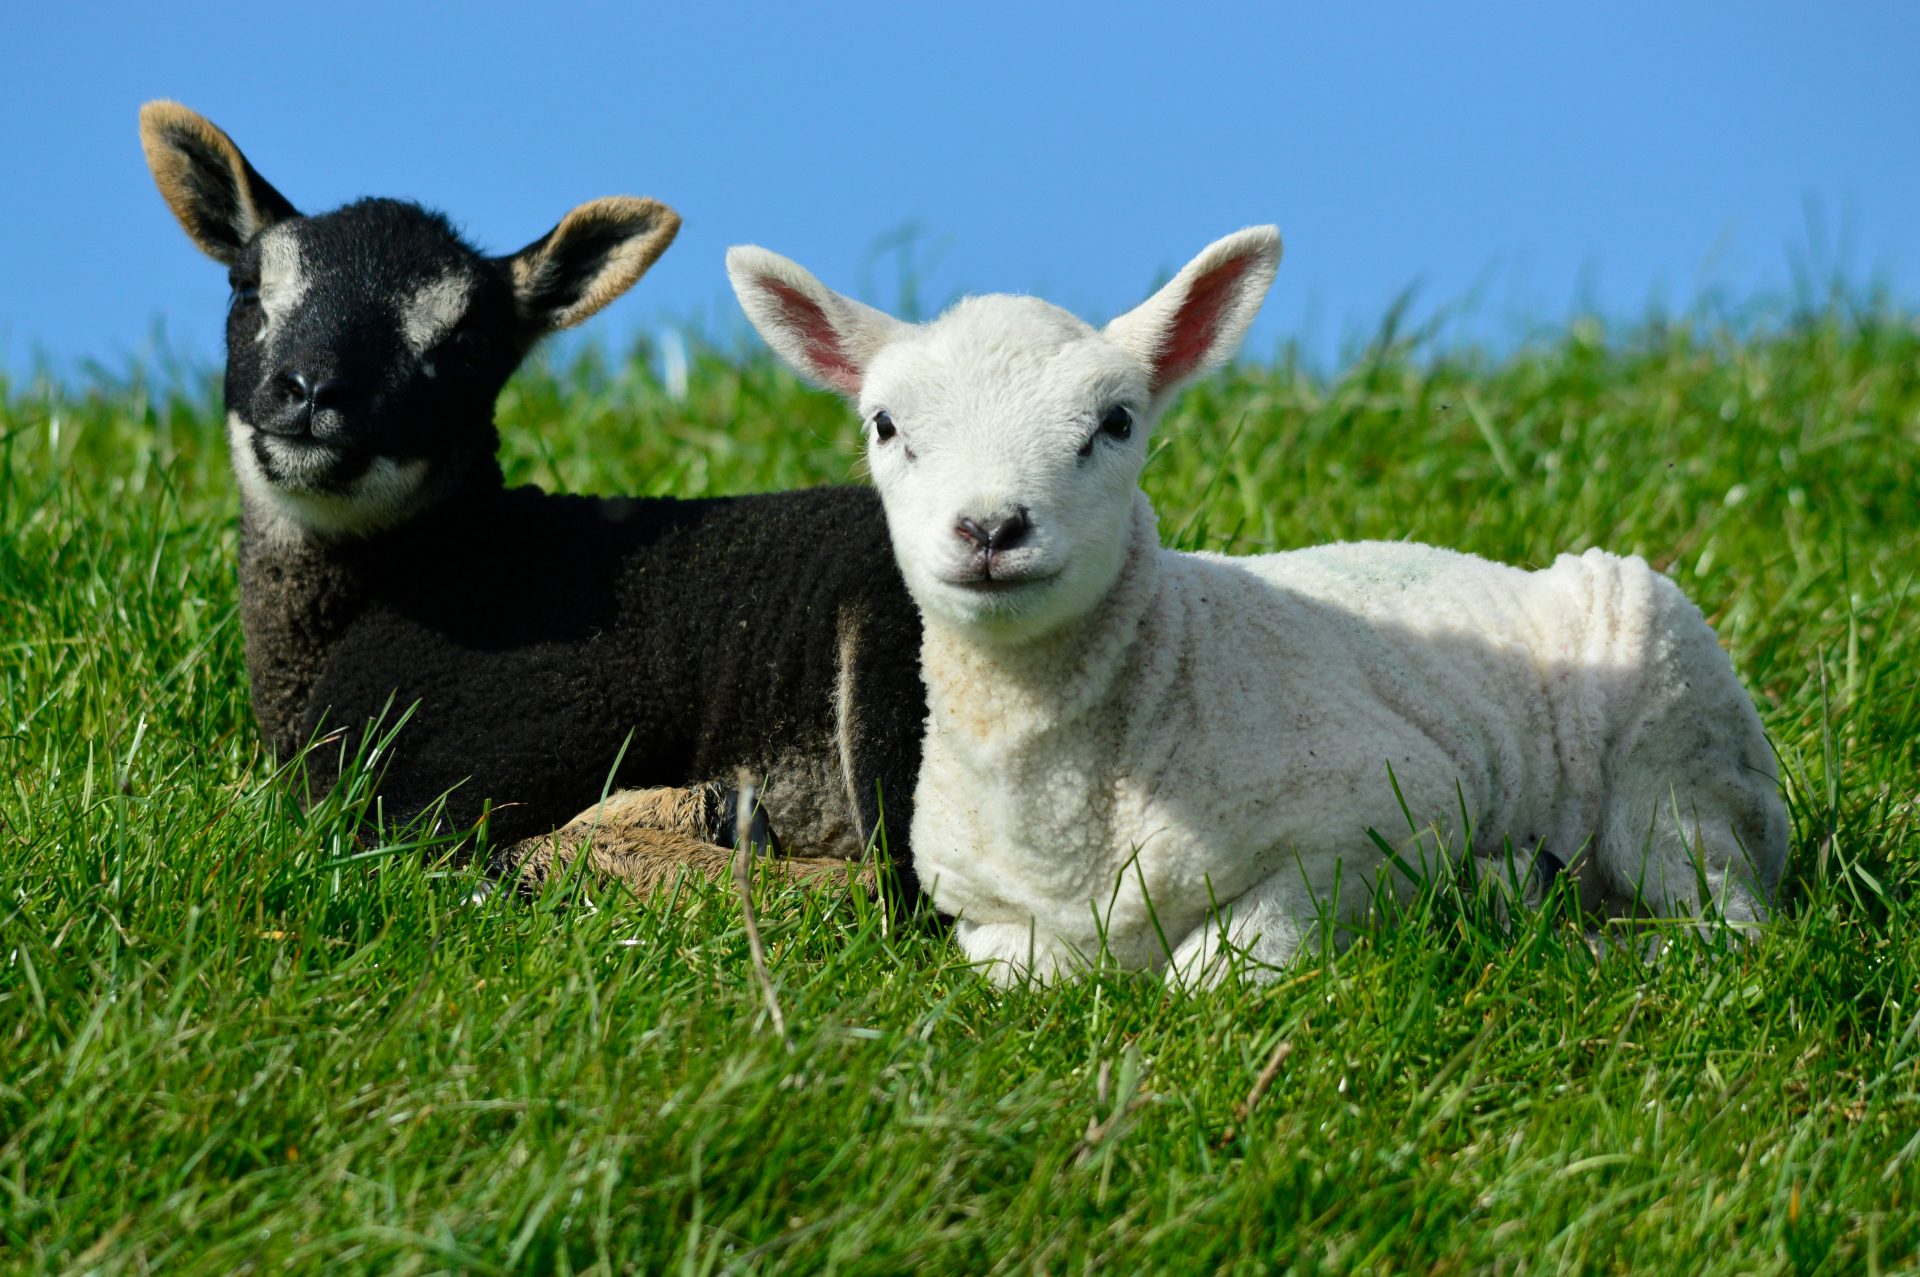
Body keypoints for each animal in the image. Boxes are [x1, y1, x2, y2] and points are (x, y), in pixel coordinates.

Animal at [725, 231, 1789, 983]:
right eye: (885, 425)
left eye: (1117, 422)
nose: (991, 527)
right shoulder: (979, 915)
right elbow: (1023, 972)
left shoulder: (1382, 815)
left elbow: (1219, 969)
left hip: (1678, 758)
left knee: (1730, 924)